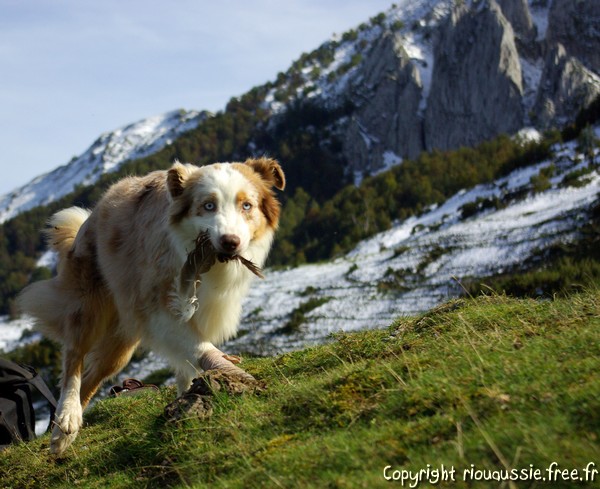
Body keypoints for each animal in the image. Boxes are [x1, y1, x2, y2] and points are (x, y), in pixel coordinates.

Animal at [16, 158, 284, 456]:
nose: (230, 242)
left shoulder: (203, 310)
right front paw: (231, 372)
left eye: (246, 205)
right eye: (208, 205)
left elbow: (187, 363)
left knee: (92, 376)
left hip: (121, 342)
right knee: (74, 360)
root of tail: (91, 216)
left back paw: (64, 434)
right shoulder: (159, 308)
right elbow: (199, 347)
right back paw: (67, 417)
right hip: (89, 308)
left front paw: (188, 397)